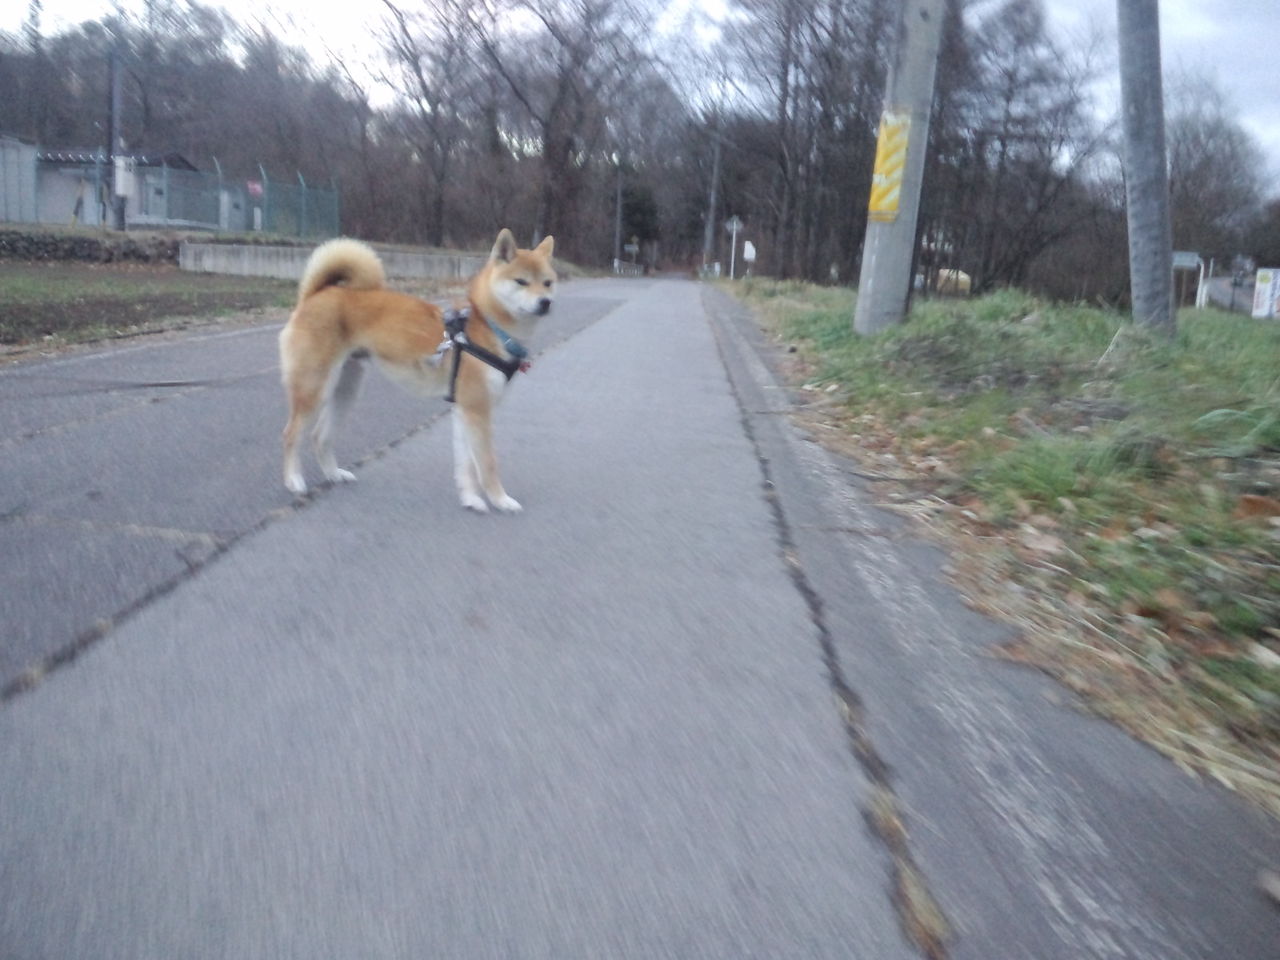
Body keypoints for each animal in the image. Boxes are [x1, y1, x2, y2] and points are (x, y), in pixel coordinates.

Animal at [277, 228, 555, 512]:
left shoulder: (465, 409)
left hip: (346, 390)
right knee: (291, 434)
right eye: (521, 281)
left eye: (547, 283)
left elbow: (466, 464)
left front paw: (470, 499)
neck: (488, 326)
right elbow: (487, 463)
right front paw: (500, 500)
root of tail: (315, 294)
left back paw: (334, 474)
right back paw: (294, 480)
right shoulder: (478, 410)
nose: (545, 302)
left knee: (319, 436)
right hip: (314, 387)